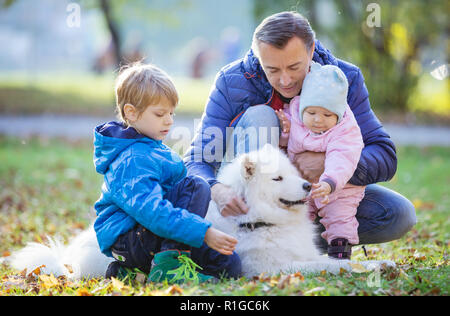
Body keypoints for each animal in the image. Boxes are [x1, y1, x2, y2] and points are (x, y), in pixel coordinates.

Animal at [205, 144, 394, 278]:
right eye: (277, 178)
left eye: (292, 173)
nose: (308, 185)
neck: (262, 222)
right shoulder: (270, 268)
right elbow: (325, 265)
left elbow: (334, 260)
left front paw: (380, 263)